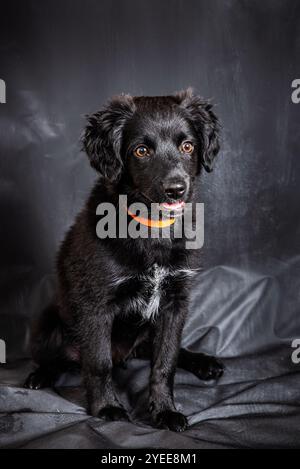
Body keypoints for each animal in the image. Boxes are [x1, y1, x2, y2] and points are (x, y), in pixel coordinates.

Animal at [25, 88, 223, 432]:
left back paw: (203, 361)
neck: (152, 228)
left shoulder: (175, 303)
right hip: (47, 323)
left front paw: (164, 410)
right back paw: (41, 375)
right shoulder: (95, 304)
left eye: (188, 146)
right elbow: (99, 362)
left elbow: (166, 361)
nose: (176, 189)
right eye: (141, 151)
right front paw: (107, 407)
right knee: (59, 357)